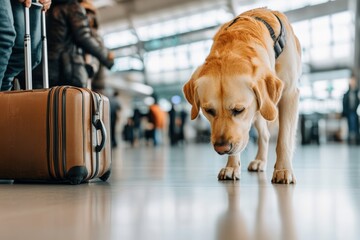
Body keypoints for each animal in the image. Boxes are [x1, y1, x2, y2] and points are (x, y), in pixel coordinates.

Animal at [183, 7, 300, 184]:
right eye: (209, 111)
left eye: (239, 110)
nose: (221, 148)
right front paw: (231, 167)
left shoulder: (289, 94)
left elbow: (284, 139)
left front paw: (283, 169)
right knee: (264, 134)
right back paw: (260, 160)